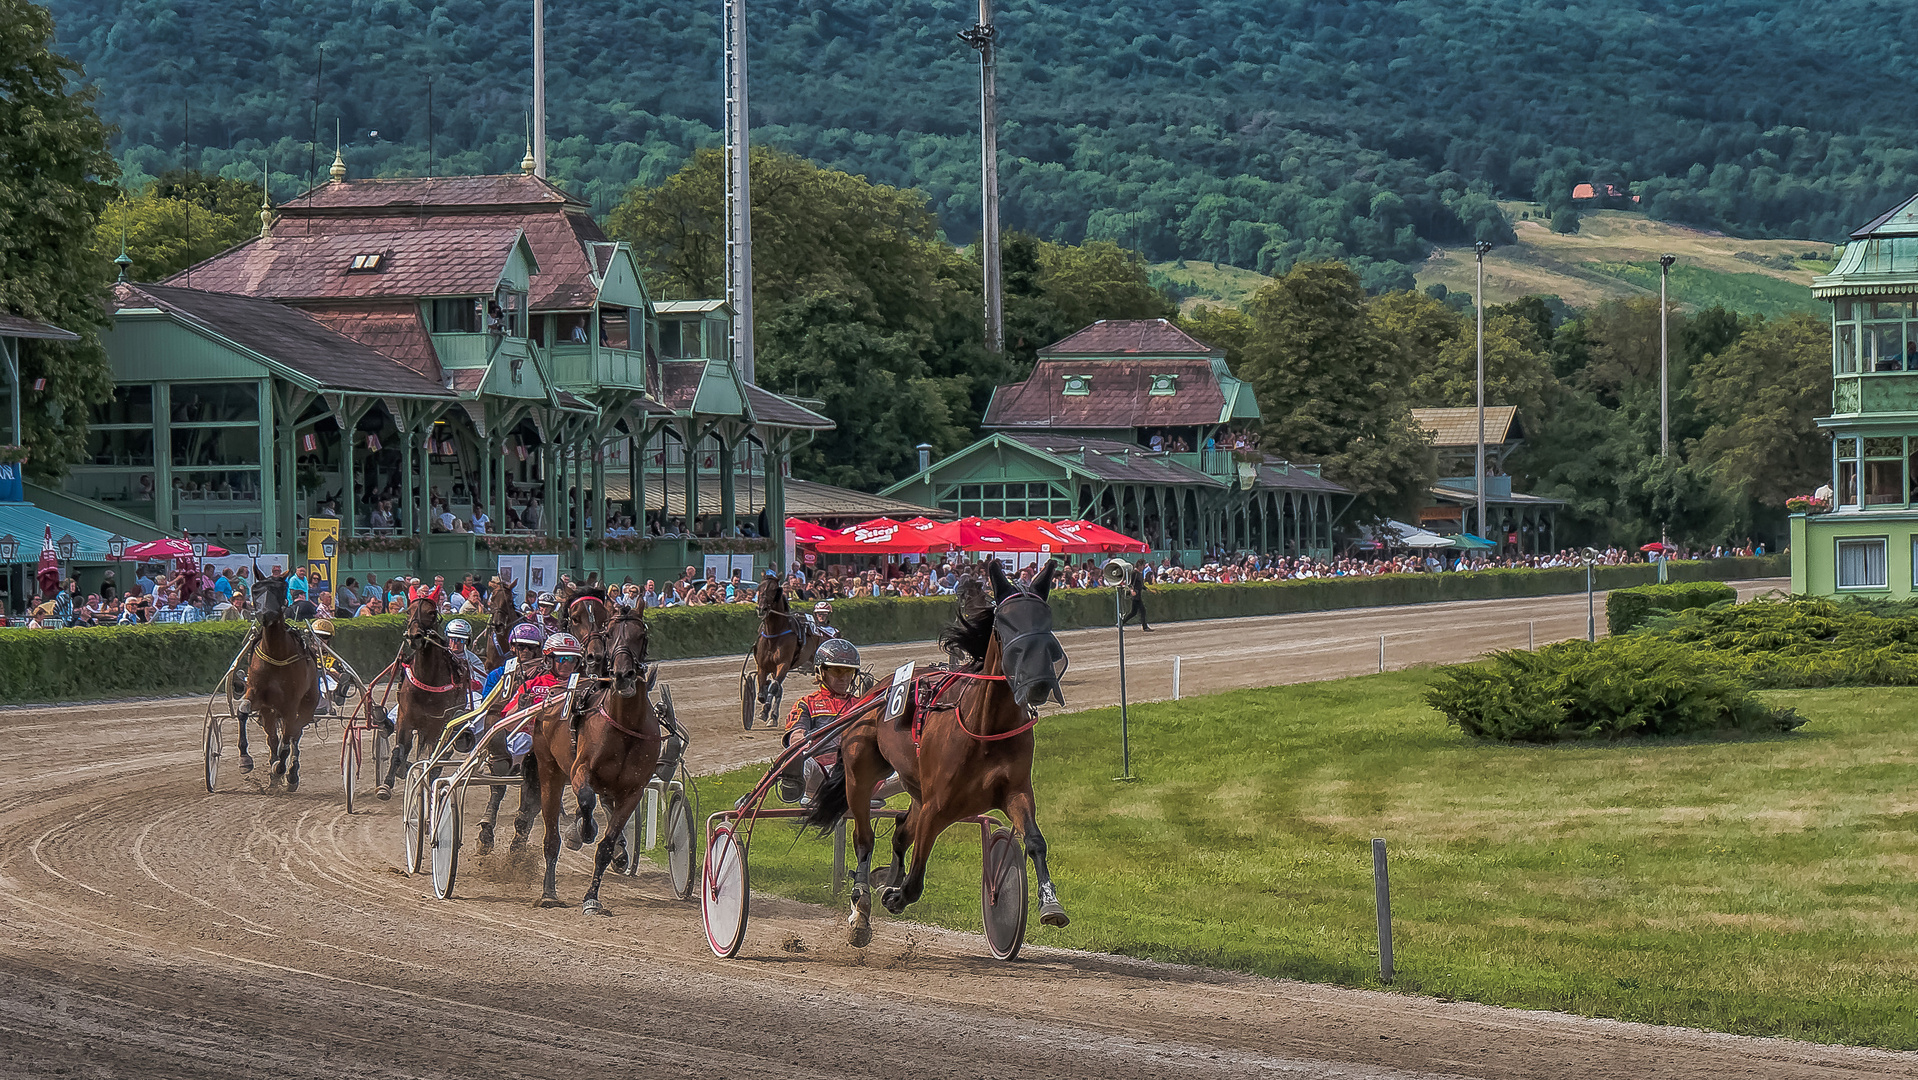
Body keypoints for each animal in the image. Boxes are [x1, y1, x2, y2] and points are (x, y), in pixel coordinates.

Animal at [241, 575, 324, 794]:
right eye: (256, 590)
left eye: (279, 590)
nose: (265, 614)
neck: (275, 654)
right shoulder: (257, 695)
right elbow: (243, 711)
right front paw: (245, 759)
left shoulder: (291, 705)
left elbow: (288, 740)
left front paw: (281, 771)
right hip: (269, 712)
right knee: (273, 738)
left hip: (307, 705)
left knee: (294, 734)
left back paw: (290, 773)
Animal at [374, 594, 467, 798]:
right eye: (408, 611)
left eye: (431, 612)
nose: (414, 636)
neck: (428, 680)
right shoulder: (405, 718)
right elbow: (399, 750)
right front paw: (386, 784)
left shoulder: (436, 724)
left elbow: (431, 756)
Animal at [529, 590, 663, 913]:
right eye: (610, 633)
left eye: (641, 635)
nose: (623, 674)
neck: (625, 724)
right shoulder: (580, 771)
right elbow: (586, 801)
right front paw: (582, 831)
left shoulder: (633, 791)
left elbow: (606, 844)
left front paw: (592, 896)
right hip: (549, 772)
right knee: (551, 837)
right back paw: (548, 892)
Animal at [748, 583, 824, 725]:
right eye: (759, 590)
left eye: (773, 591)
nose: (761, 609)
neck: (774, 634)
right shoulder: (763, 666)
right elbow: (763, 692)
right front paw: (768, 712)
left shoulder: (783, 664)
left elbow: (774, 687)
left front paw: (765, 711)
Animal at [805, 563, 1074, 951]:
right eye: (1005, 624)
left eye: (1045, 619)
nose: (1038, 683)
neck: (985, 725)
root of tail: (875, 690)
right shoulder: (937, 805)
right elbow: (916, 874)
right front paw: (894, 895)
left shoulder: (1016, 792)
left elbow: (1036, 841)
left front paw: (1050, 904)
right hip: (861, 772)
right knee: (865, 838)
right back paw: (862, 907)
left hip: (915, 787)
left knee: (901, 830)